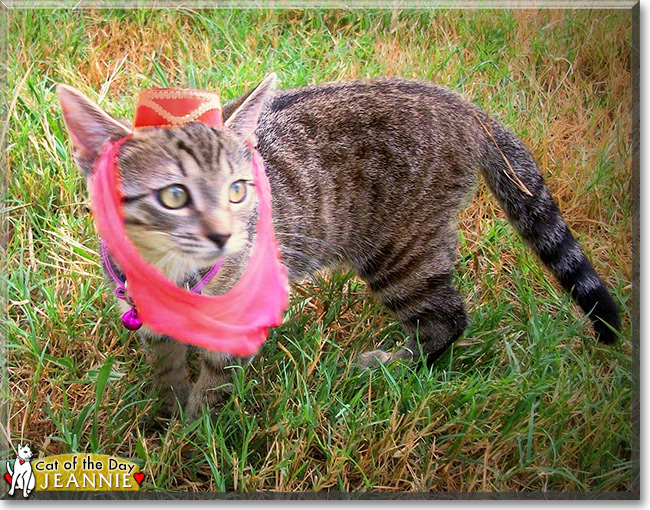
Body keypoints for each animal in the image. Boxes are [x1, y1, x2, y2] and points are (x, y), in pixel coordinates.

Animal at [57, 72, 616, 422]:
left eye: (238, 190)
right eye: (174, 196)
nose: (224, 235)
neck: (172, 271)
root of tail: (459, 104)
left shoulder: (240, 319)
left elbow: (214, 382)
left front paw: (195, 434)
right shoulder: (144, 316)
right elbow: (165, 366)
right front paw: (166, 417)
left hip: (399, 251)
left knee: (448, 318)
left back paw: (389, 364)